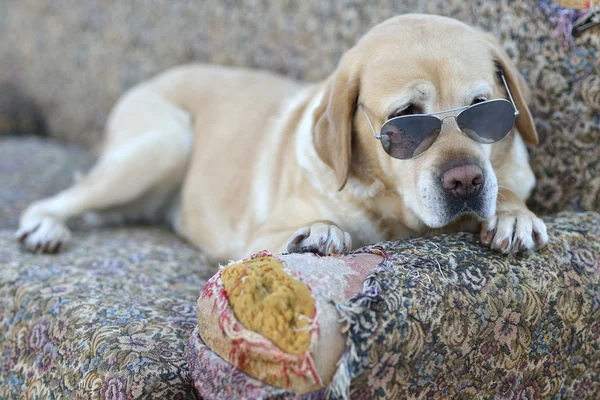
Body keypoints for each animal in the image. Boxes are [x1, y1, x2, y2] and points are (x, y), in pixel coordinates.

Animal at [15, 14, 548, 260]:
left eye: (483, 108)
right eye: (406, 119)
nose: (465, 183)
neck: (394, 215)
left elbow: (513, 190)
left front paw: (513, 215)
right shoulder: (256, 239)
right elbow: (309, 228)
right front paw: (318, 232)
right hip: (163, 144)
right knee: (63, 197)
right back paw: (45, 226)